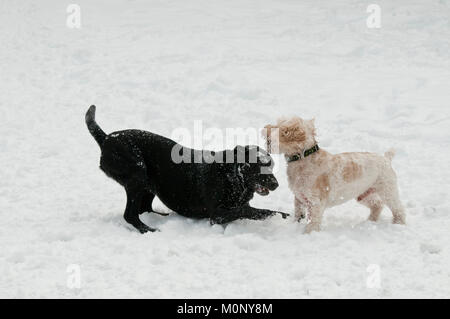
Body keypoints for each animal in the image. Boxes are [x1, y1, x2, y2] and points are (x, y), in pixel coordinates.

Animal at [85, 106, 288, 234]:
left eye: (271, 165)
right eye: (258, 165)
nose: (276, 184)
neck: (232, 177)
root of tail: (107, 138)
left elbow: (253, 209)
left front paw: (284, 215)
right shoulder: (218, 215)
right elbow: (249, 211)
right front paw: (277, 216)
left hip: (149, 182)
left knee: (144, 209)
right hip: (138, 175)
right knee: (130, 215)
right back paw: (148, 229)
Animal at [262, 119, 406, 234]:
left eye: (285, 131)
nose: (266, 131)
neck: (304, 157)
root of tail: (386, 158)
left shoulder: (316, 202)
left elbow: (313, 222)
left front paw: (308, 234)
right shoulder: (299, 199)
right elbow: (298, 215)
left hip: (388, 190)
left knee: (398, 209)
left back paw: (398, 224)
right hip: (364, 194)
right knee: (377, 205)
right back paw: (370, 221)